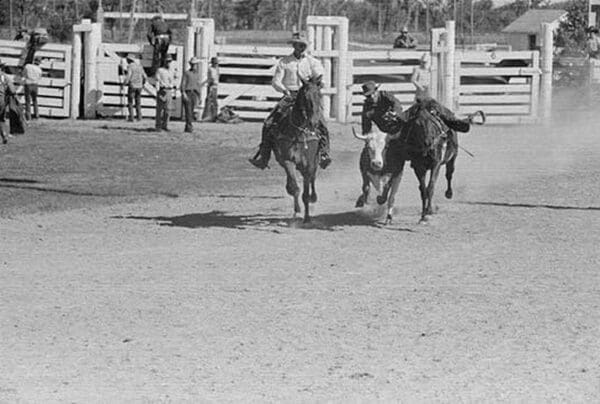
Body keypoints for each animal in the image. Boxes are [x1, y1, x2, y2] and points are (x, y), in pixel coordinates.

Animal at [274, 74, 326, 223]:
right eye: (306, 97)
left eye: (319, 94)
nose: (314, 122)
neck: (298, 132)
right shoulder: (288, 161)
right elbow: (295, 187)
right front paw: (297, 210)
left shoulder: (308, 165)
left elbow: (306, 193)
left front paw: (307, 218)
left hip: (315, 163)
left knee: (313, 179)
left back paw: (314, 197)